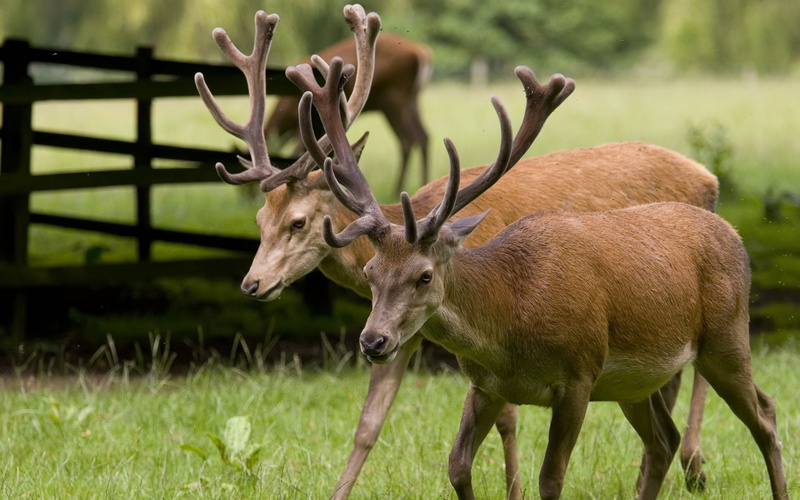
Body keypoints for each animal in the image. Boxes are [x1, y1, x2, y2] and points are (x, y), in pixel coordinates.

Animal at [264, 33, 432, 193]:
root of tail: (422, 54)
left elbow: (298, 150)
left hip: (395, 98)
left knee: (407, 139)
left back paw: (397, 189)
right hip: (412, 98)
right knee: (423, 136)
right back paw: (423, 183)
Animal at [295, 56, 788, 500]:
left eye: (424, 275)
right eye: (371, 271)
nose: (372, 341)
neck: (509, 324)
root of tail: (733, 232)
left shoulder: (579, 376)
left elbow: (550, 479)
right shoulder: (486, 385)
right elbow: (457, 466)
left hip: (726, 336)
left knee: (765, 414)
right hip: (634, 383)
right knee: (662, 441)